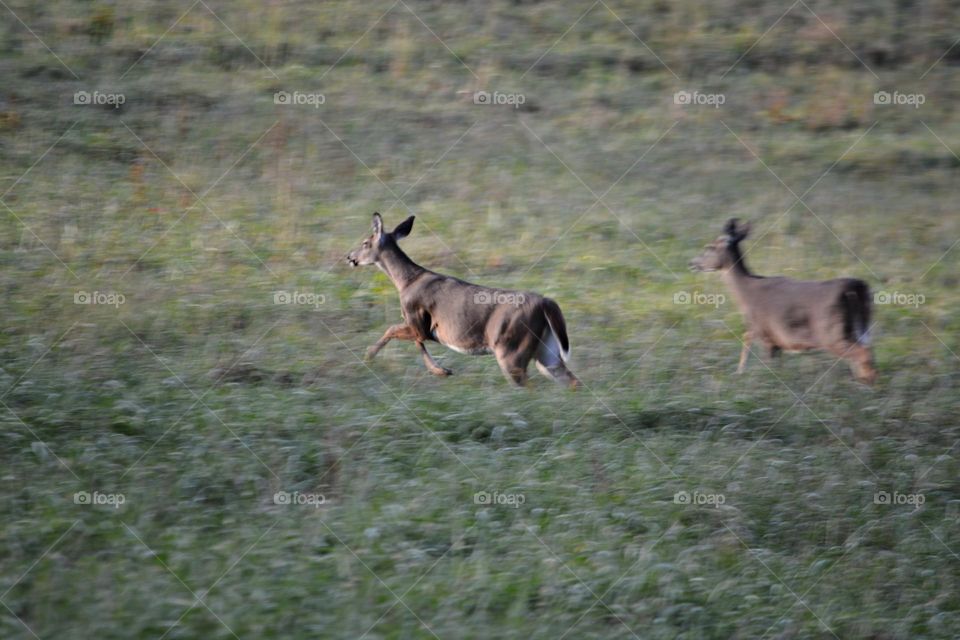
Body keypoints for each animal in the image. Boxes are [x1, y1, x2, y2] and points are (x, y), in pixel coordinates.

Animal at [348, 214, 580, 390]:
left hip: (510, 348)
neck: (406, 281)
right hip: (546, 349)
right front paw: (441, 370)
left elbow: (395, 331)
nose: (350, 257)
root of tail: (546, 303)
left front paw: (368, 355)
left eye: (365, 243)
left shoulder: (417, 319)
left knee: (526, 384)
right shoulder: (422, 327)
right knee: (571, 380)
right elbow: (414, 341)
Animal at [688, 218, 876, 384]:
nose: (692, 263)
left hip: (831, 331)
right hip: (858, 327)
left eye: (709, 247)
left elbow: (757, 354)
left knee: (863, 353)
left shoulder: (763, 332)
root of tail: (856, 287)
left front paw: (742, 374)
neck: (746, 292)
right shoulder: (774, 339)